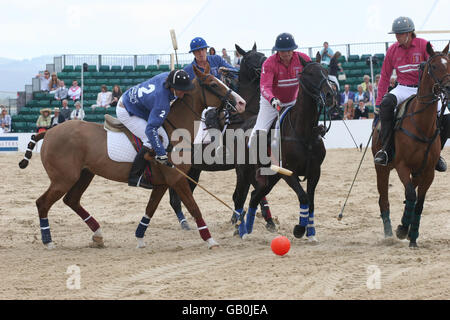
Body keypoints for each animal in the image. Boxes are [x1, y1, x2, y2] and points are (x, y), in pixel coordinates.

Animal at [18, 65, 246, 250]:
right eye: (213, 84)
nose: (241, 102)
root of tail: (48, 132)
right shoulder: (177, 179)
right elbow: (194, 208)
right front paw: (210, 240)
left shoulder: (162, 183)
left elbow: (150, 209)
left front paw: (140, 238)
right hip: (63, 178)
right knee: (42, 203)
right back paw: (48, 241)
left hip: (84, 174)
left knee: (71, 200)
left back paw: (98, 235)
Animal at [168, 43, 278, 231]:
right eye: (250, 58)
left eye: (262, 54)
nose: (267, 65)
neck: (242, 117)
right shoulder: (242, 165)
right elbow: (246, 193)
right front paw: (242, 219)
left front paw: (263, 219)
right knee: (174, 198)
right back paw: (184, 222)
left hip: (194, 169)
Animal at [232, 52, 334, 240]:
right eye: (310, 74)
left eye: (325, 71)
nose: (330, 95)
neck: (304, 132)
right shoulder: (288, 172)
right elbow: (304, 197)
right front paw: (299, 229)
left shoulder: (315, 171)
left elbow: (311, 201)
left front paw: (311, 233)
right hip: (243, 172)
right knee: (240, 197)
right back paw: (240, 230)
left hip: (269, 177)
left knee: (254, 196)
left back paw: (248, 227)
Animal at [372, 42, 450, 248]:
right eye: (434, 66)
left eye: (449, 64)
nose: (448, 88)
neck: (422, 125)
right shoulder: (402, 166)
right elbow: (411, 195)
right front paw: (402, 231)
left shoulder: (428, 171)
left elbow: (418, 201)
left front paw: (412, 236)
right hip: (382, 168)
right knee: (384, 199)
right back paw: (389, 233)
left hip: (418, 170)